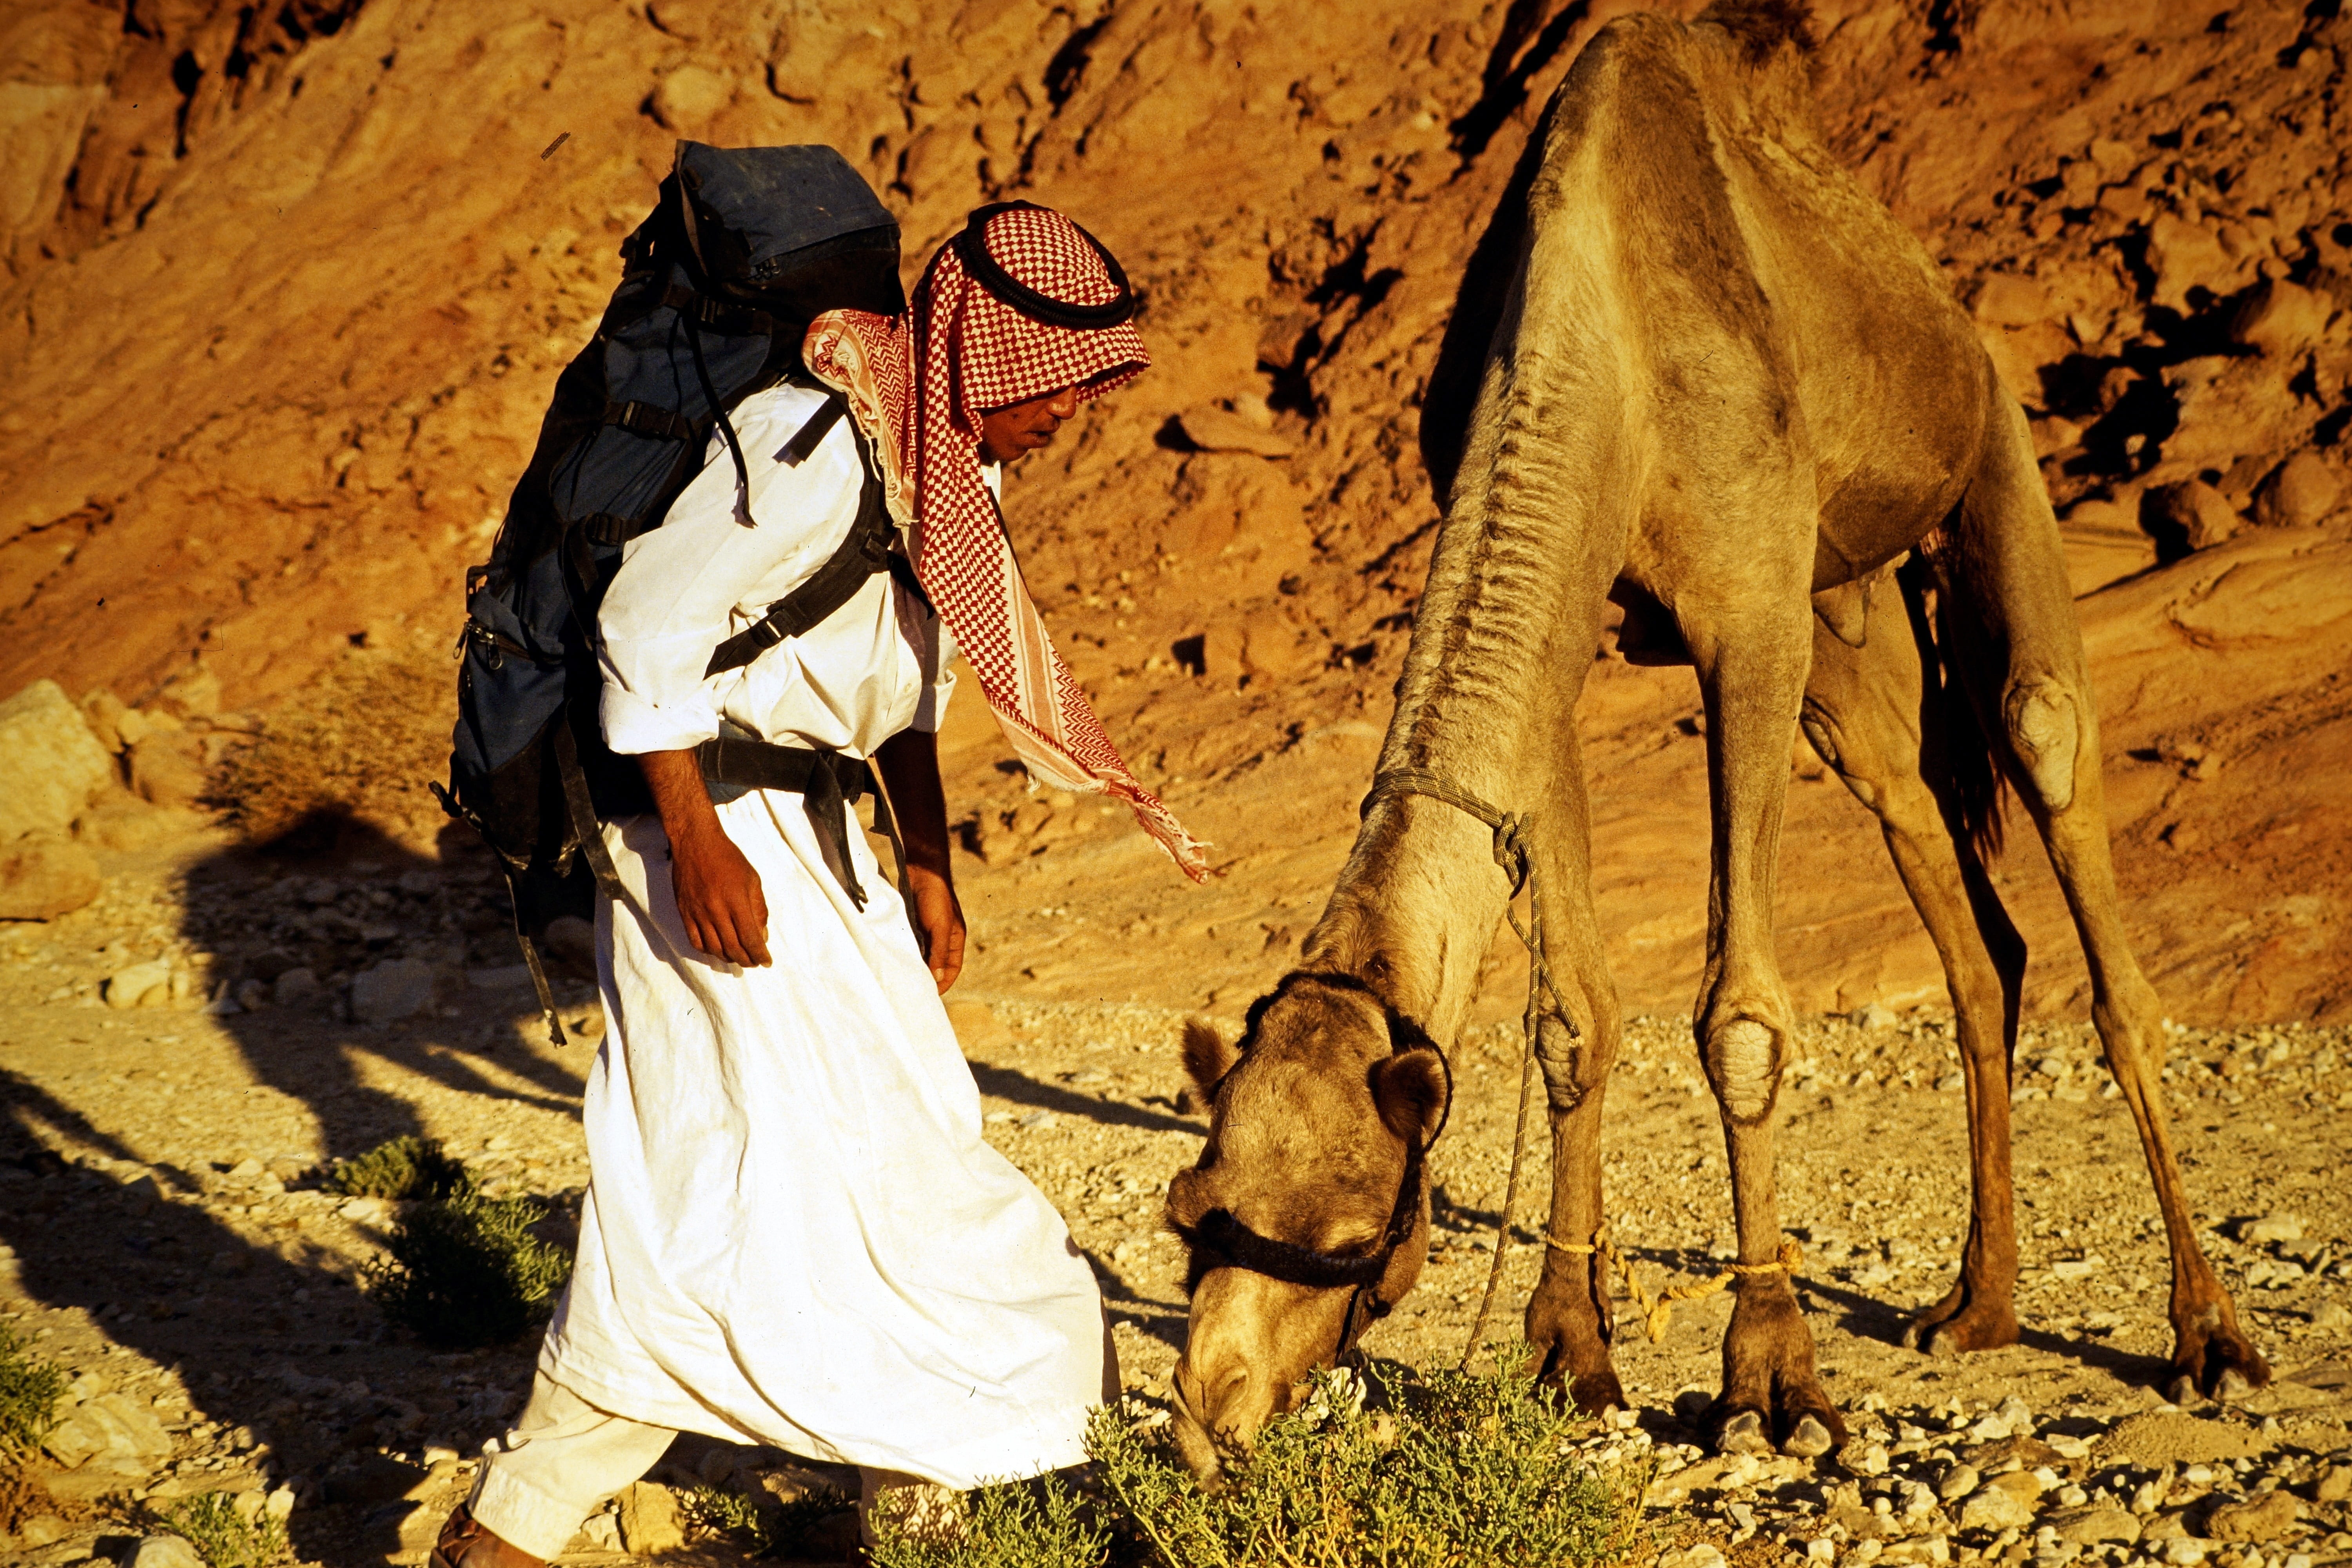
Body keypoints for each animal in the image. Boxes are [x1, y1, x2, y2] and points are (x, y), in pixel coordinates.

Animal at [1160, 0, 2269, 1479]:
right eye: (1189, 1211)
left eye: (1348, 1231)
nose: (1205, 1415)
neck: (1598, 342)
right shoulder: (1574, 639)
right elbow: (1569, 1018)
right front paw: (1568, 1354)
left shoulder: (1744, 614)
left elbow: (1738, 1017)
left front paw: (1772, 1376)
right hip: (1843, 621)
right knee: (1953, 885)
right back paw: (1973, 1307)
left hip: (1986, 440)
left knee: (2050, 764)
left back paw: (2207, 1331)